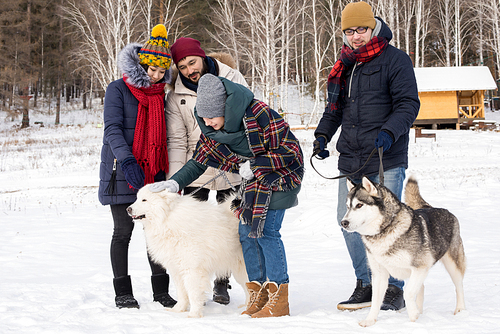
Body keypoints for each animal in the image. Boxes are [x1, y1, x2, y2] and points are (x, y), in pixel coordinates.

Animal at [127, 187, 248, 318]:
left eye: (144, 200)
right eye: (137, 198)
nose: (128, 209)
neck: (167, 219)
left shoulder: (192, 270)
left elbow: (193, 294)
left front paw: (193, 315)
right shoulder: (176, 269)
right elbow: (181, 293)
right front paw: (178, 310)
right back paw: (246, 307)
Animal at [342, 176, 466, 328]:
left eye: (359, 205)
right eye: (348, 207)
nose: (343, 223)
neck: (384, 231)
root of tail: (432, 207)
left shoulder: (420, 267)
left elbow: (407, 293)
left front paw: (413, 316)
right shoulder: (379, 273)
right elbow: (375, 300)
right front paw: (370, 320)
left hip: (453, 264)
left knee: (458, 286)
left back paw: (460, 309)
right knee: (422, 287)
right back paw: (420, 311)